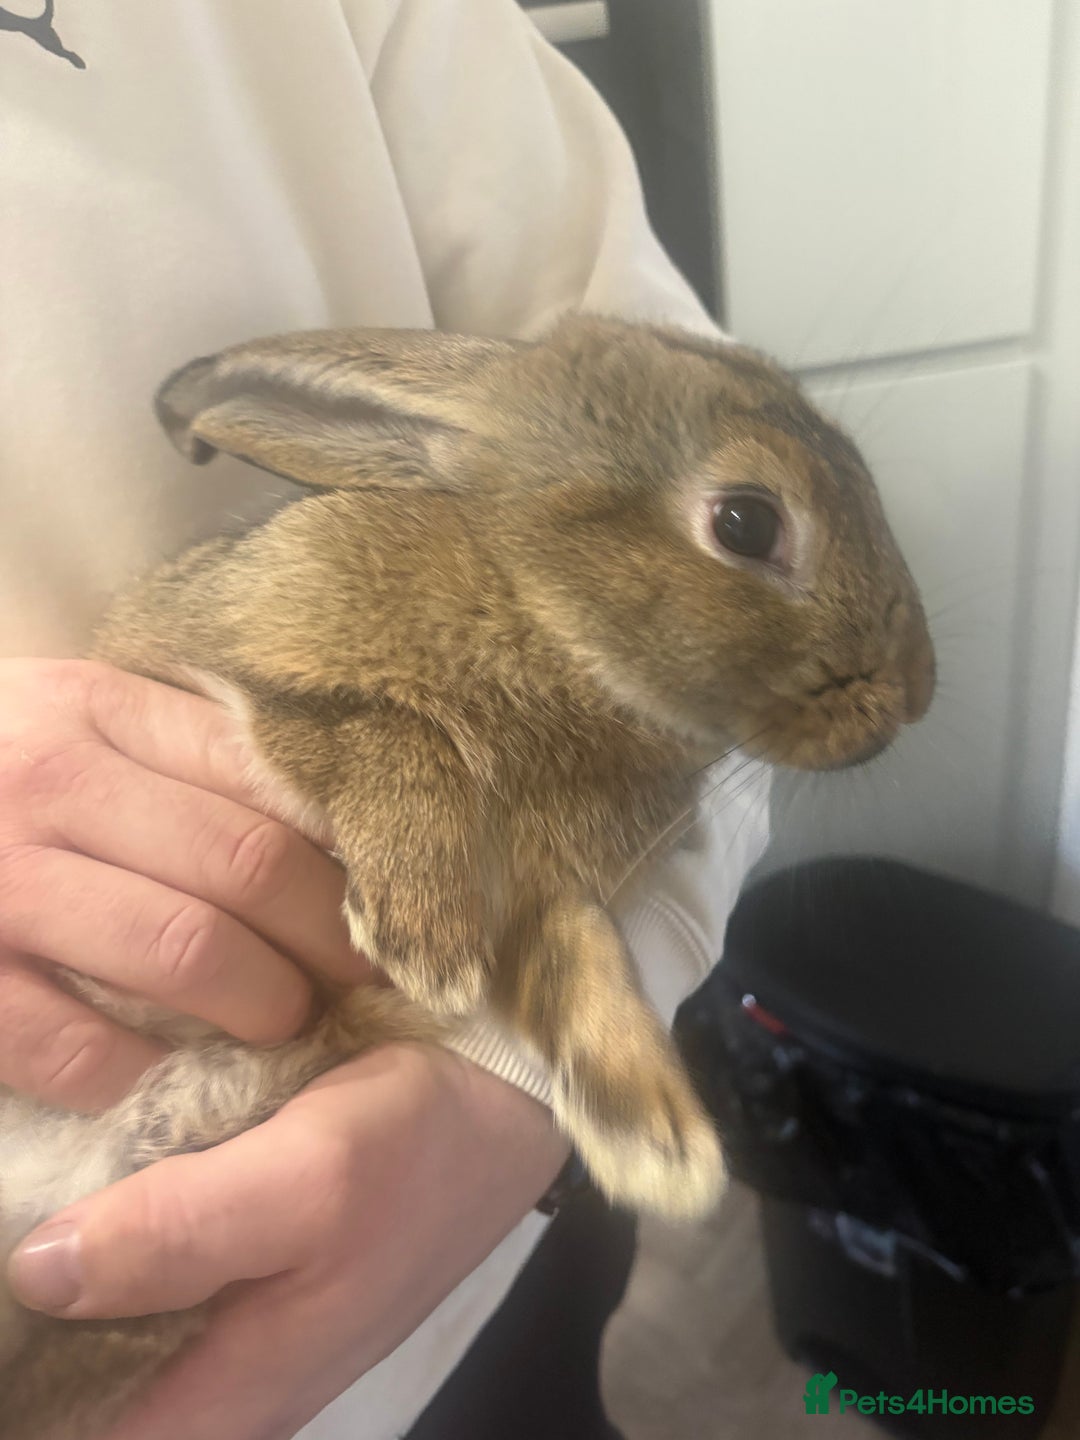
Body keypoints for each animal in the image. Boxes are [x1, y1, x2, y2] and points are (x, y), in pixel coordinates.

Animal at [0, 313, 935, 1439]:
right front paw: (426, 937)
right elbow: (387, 731)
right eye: (747, 523)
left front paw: (659, 1139)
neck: (545, 616)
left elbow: (591, 970)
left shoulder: (547, 905)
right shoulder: (229, 669)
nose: (916, 693)